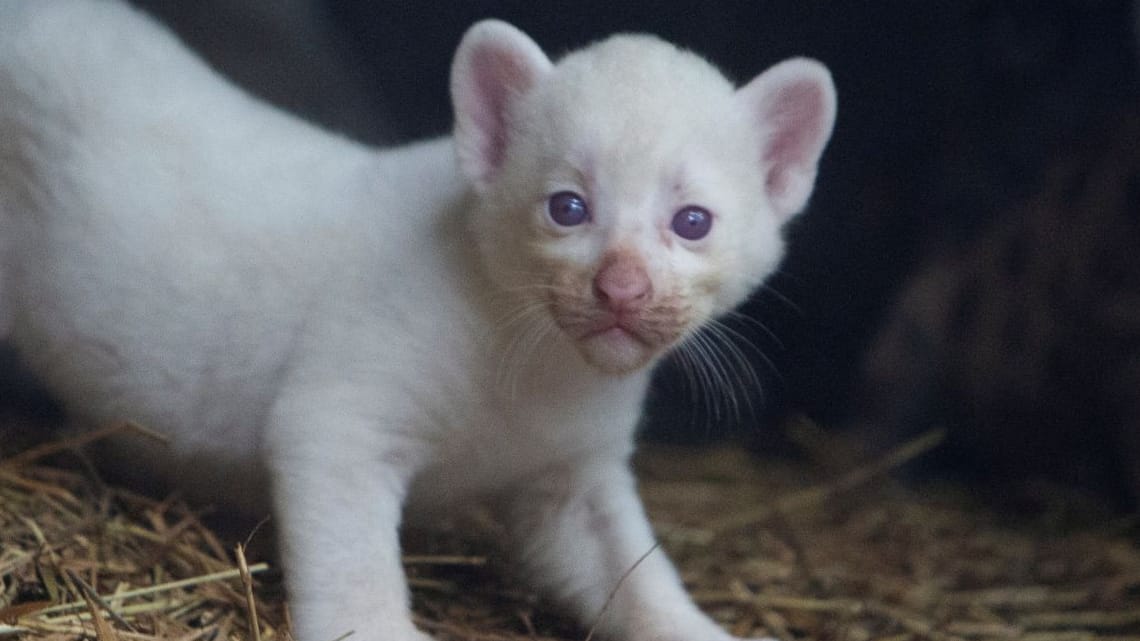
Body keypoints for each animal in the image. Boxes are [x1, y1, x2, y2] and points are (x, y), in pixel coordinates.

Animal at [0, 1, 839, 638]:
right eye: (567, 207)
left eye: (692, 221)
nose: (622, 287)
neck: (540, 374)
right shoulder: (338, 421)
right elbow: (354, 566)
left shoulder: (574, 478)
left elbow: (636, 575)